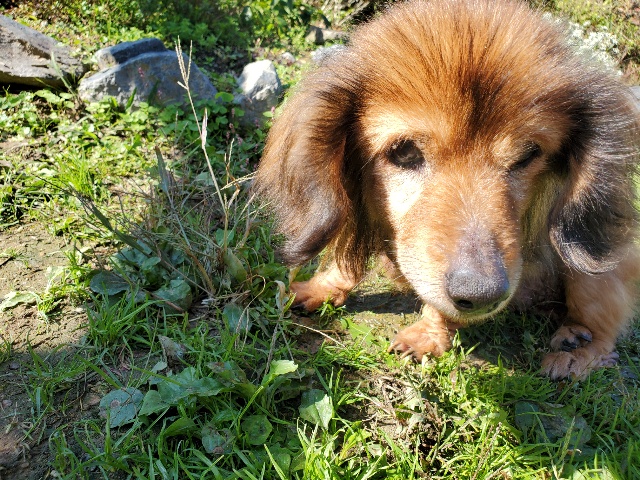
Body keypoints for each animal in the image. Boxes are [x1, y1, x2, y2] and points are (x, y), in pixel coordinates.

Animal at [254, 0, 640, 379]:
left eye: (529, 154)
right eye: (404, 151)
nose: (483, 295)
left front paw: (428, 335)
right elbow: (343, 260)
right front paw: (322, 287)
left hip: (592, 269)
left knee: (603, 333)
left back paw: (575, 348)